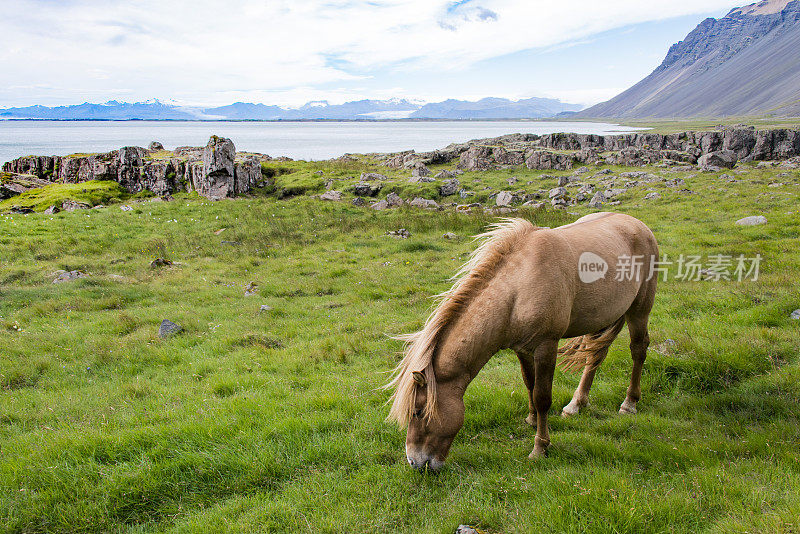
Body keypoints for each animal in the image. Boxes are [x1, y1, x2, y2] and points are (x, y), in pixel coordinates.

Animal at [386, 214, 656, 474]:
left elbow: (542, 396)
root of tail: (638, 225)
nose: (414, 462)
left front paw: (540, 447)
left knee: (638, 350)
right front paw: (532, 420)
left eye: (418, 411)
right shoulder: (522, 349)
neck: (519, 288)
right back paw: (576, 405)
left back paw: (629, 403)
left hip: (639, 310)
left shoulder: (546, 346)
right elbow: (529, 383)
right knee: (595, 356)